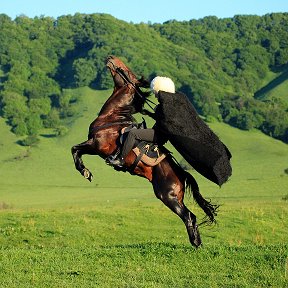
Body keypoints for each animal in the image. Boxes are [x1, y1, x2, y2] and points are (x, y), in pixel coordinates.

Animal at [71, 55, 217, 248]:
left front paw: (86, 172)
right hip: (175, 197)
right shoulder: (94, 146)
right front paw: (86, 172)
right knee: (191, 216)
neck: (113, 117)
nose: (111, 57)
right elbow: (76, 150)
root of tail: (182, 173)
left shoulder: (95, 145)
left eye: (126, 71)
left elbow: (75, 150)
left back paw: (196, 243)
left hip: (167, 196)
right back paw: (197, 243)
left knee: (188, 216)